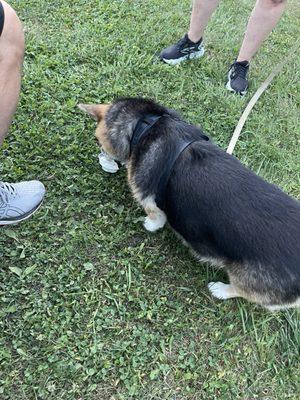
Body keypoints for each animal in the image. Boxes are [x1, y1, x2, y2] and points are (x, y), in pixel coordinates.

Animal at [79, 97, 300, 312]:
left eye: (98, 140)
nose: (100, 153)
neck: (145, 124)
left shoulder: (150, 201)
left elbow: (155, 218)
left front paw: (149, 225)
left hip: (244, 277)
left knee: (243, 291)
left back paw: (220, 289)